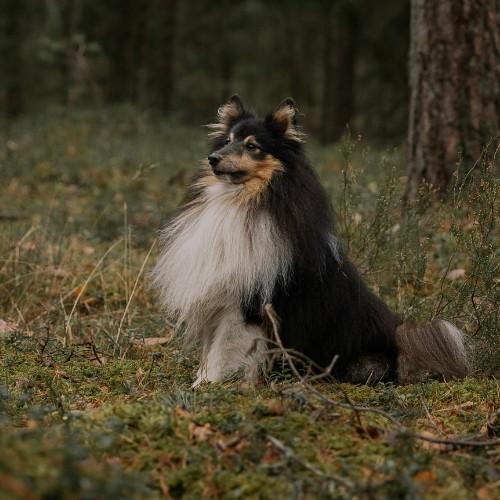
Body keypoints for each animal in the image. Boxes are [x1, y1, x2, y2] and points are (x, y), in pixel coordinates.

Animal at [151, 95, 468, 384]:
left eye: (252, 146)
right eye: (226, 140)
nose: (213, 159)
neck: (238, 200)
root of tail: (399, 337)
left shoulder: (244, 307)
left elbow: (221, 352)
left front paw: (204, 387)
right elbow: (209, 351)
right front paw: (200, 380)